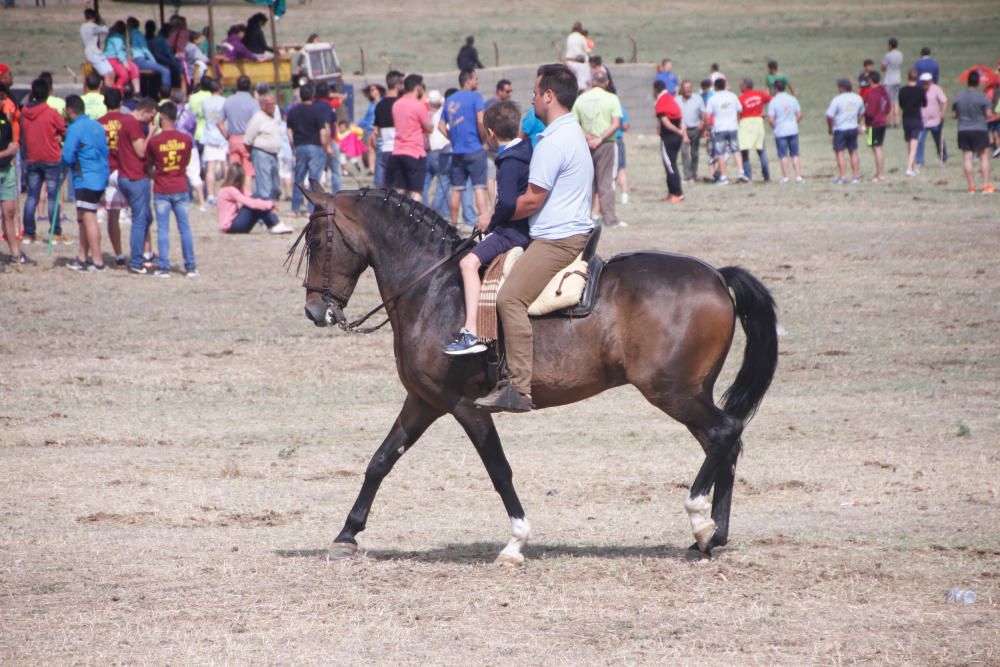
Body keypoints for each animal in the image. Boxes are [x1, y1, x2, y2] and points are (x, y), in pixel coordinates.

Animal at [292, 187, 776, 564]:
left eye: (317, 239)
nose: (314, 311)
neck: (435, 290)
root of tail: (715, 275)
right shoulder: (424, 401)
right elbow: (380, 461)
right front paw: (346, 535)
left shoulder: (466, 406)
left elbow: (498, 470)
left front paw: (515, 541)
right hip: (689, 393)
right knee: (725, 443)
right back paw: (712, 535)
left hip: (673, 392)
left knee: (724, 434)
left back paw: (700, 521)